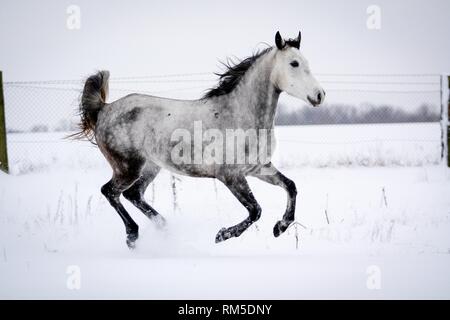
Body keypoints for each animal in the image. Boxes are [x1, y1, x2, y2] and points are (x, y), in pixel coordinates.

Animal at [75, 30, 326, 250]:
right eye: (294, 63)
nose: (319, 95)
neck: (238, 113)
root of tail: (104, 109)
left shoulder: (259, 168)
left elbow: (291, 187)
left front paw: (280, 227)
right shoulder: (230, 175)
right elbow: (255, 210)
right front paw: (222, 235)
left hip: (150, 167)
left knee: (132, 194)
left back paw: (164, 228)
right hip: (127, 167)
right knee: (110, 191)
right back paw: (133, 235)